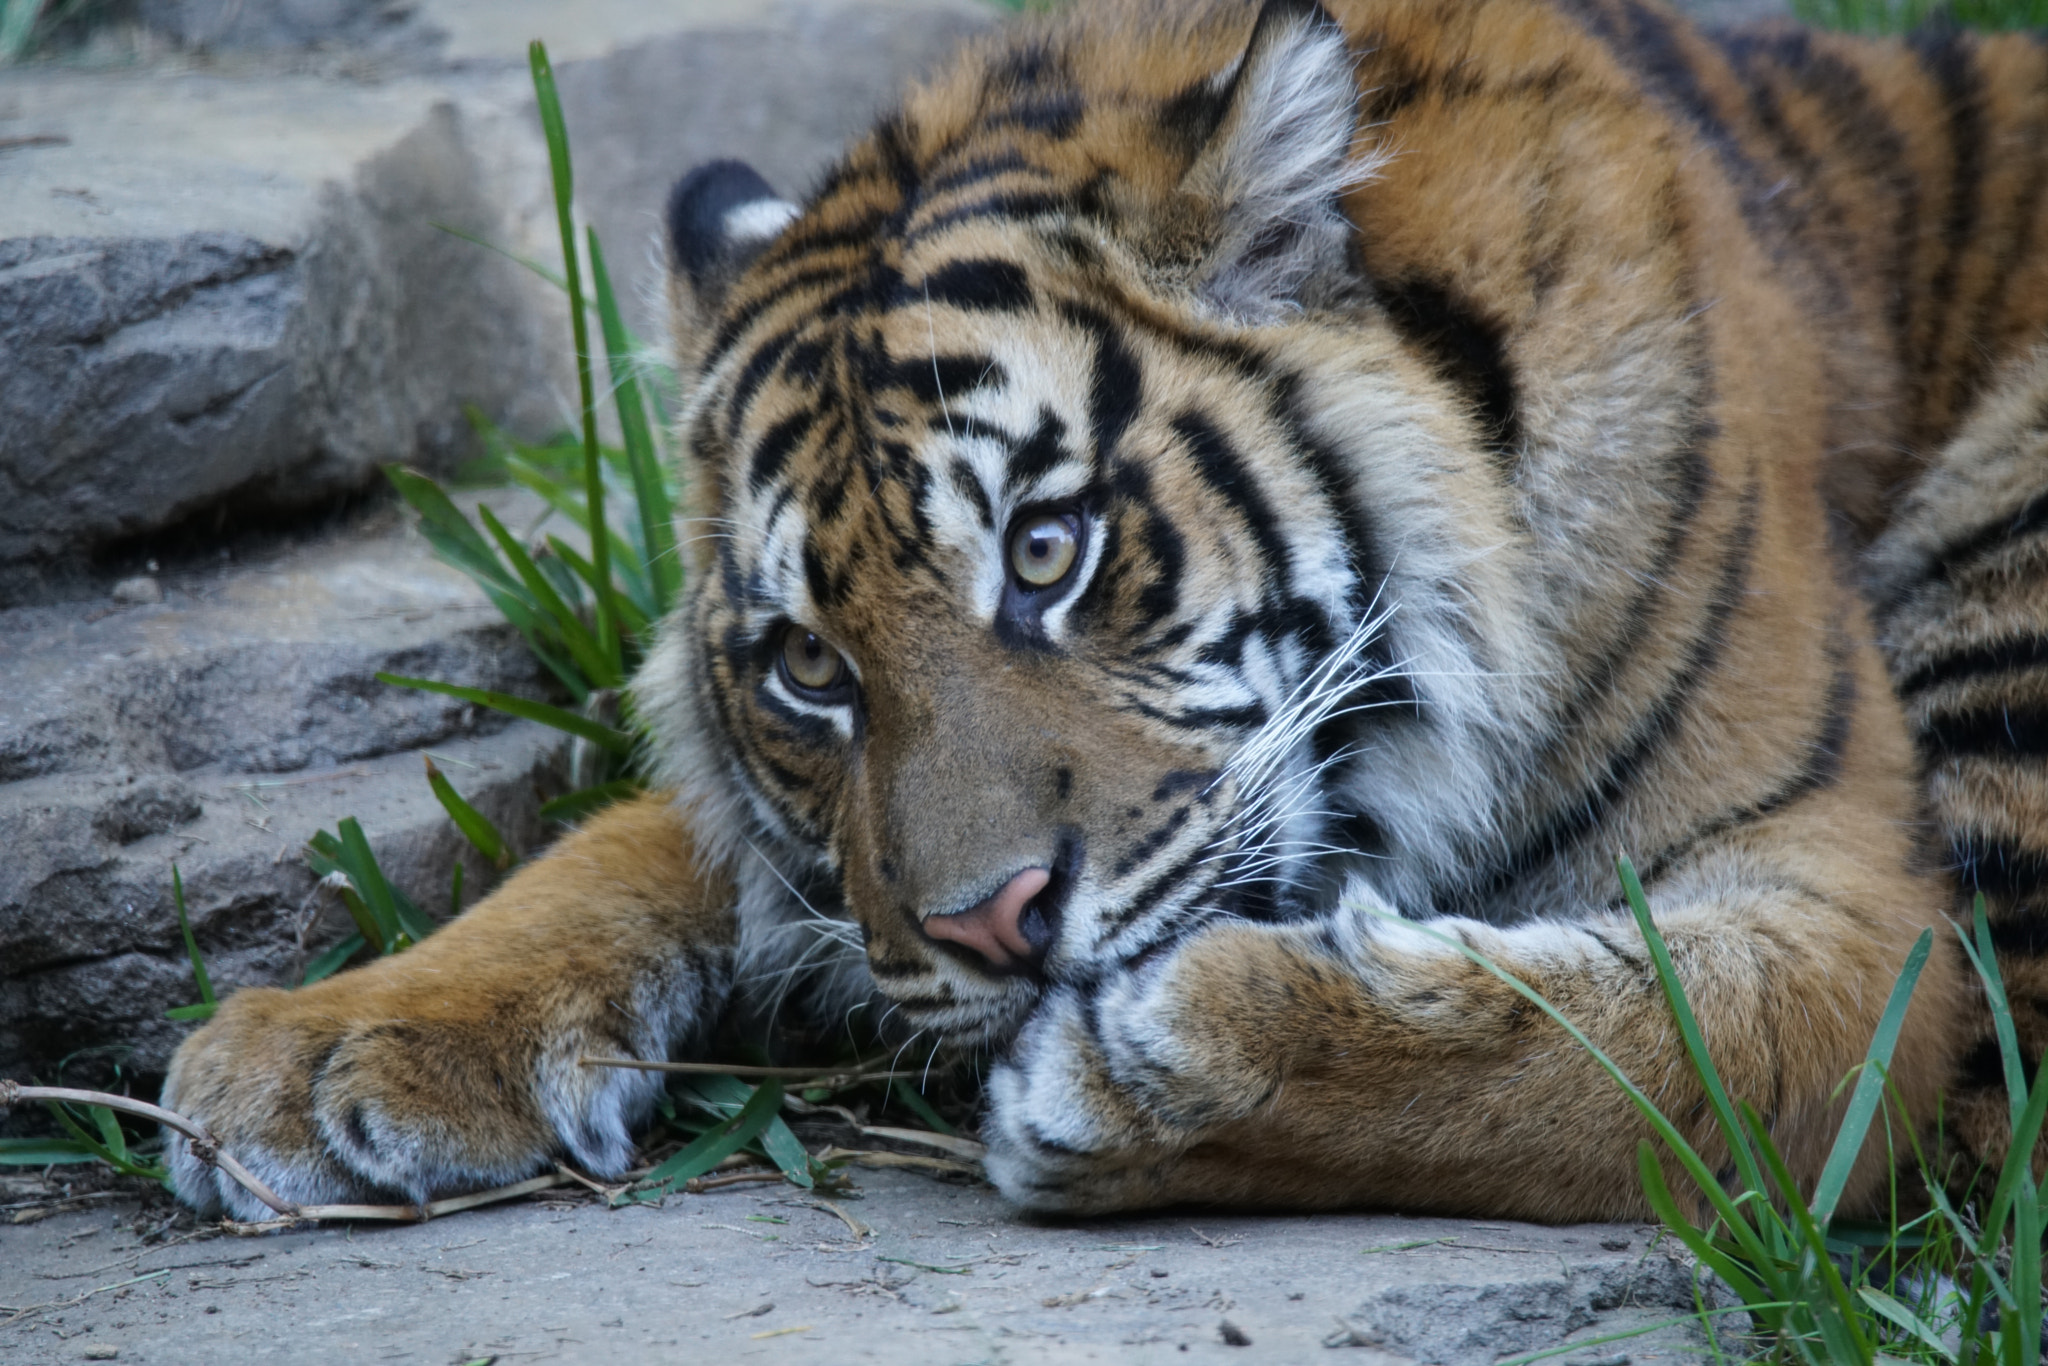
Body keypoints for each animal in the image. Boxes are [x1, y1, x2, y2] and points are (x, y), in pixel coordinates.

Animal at [163, 0, 2048, 1220]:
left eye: (1048, 549)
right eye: (807, 666)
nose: (995, 927)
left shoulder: (1858, 911)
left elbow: (1643, 1052)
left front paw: (1163, 1070)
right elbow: (627, 842)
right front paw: (334, 1044)